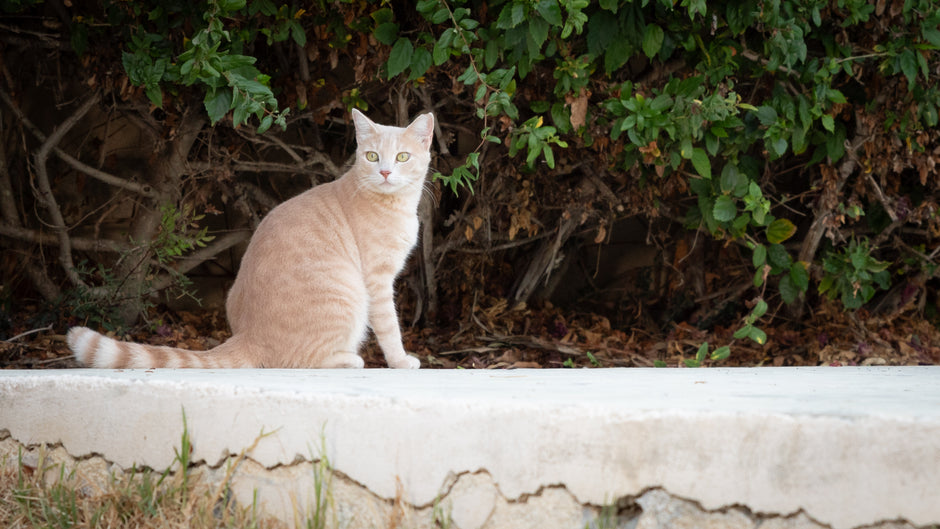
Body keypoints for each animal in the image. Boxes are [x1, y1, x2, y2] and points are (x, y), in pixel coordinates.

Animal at [66, 109, 434, 370]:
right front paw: (400, 361)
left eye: (402, 157)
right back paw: (350, 359)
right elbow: (389, 327)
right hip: (350, 296)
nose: (385, 172)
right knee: (299, 360)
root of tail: (248, 336)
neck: (393, 204)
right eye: (372, 156)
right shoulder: (377, 281)